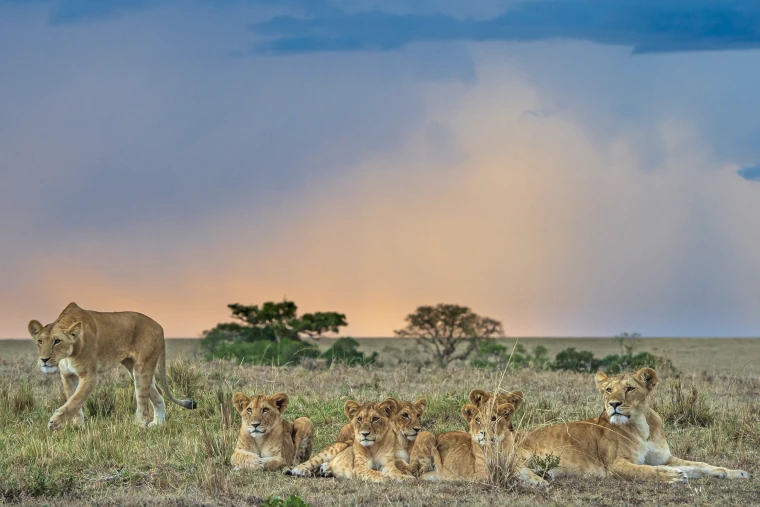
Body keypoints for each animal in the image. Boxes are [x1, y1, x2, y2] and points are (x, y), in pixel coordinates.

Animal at [28, 302, 196, 431]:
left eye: (57, 341)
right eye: (40, 341)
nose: (44, 359)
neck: (69, 354)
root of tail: (159, 326)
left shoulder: (90, 375)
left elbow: (76, 400)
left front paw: (55, 422)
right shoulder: (67, 376)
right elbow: (73, 401)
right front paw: (78, 427)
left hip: (142, 369)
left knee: (143, 403)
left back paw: (139, 427)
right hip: (133, 369)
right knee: (158, 395)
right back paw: (157, 424)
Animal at [521, 367, 750, 483]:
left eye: (629, 388)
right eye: (608, 390)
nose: (613, 404)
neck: (642, 426)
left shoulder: (664, 458)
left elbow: (699, 465)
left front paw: (732, 472)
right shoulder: (614, 466)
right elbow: (646, 471)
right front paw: (672, 476)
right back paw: (538, 480)